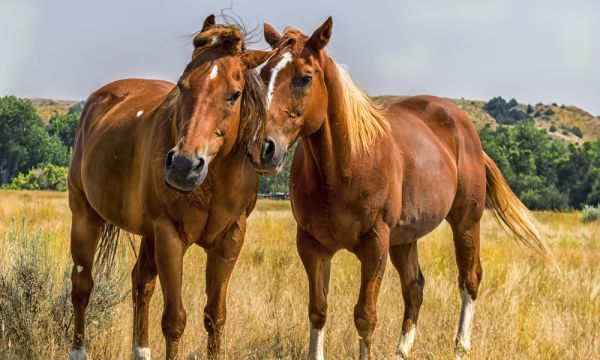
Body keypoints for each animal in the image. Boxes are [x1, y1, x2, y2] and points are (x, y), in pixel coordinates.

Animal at [67, 14, 270, 360]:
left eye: (234, 94)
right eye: (182, 85)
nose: (183, 167)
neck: (212, 183)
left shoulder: (230, 239)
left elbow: (215, 317)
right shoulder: (170, 236)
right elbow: (175, 320)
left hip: (146, 234)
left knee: (141, 285)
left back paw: (141, 350)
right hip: (85, 217)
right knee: (82, 286)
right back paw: (79, 351)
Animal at [258, 17, 548, 360]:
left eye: (304, 78)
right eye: (263, 74)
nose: (264, 147)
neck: (344, 164)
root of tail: (465, 128)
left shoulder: (375, 244)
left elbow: (365, 316)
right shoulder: (312, 245)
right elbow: (318, 311)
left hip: (466, 222)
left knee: (469, 278)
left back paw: (461, 345)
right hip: (405, 238)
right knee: (414, 286)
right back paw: (402, 349)